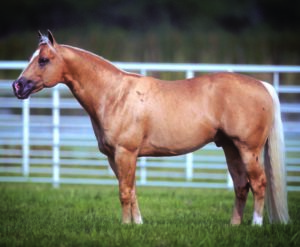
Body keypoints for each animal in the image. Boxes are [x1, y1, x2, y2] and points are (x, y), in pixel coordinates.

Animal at [12, 29, 290, 225]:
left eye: (44, 60)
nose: (17, 86)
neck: (115, 94)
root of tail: (262, 85)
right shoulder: (116, 157)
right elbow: (132, 190)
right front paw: (137, 225)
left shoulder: (125, 153)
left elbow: (124, 192)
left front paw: (125, 227)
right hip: (231, 149)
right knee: (241, 186)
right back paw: (234, 226)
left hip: (248, 149)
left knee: (259, 183)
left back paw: (255, 224)